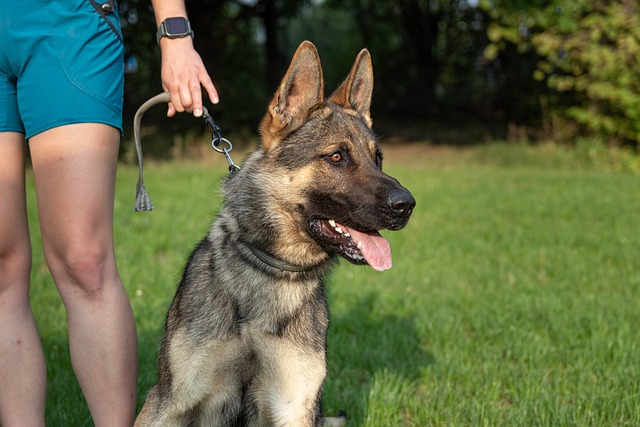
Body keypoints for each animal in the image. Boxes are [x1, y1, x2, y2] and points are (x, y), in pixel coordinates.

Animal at [135, 41, 416, 427]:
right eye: (337, 157)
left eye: (378, 159)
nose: (407, 205)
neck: (272, 271)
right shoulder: (169, 401)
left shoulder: (294, 405)